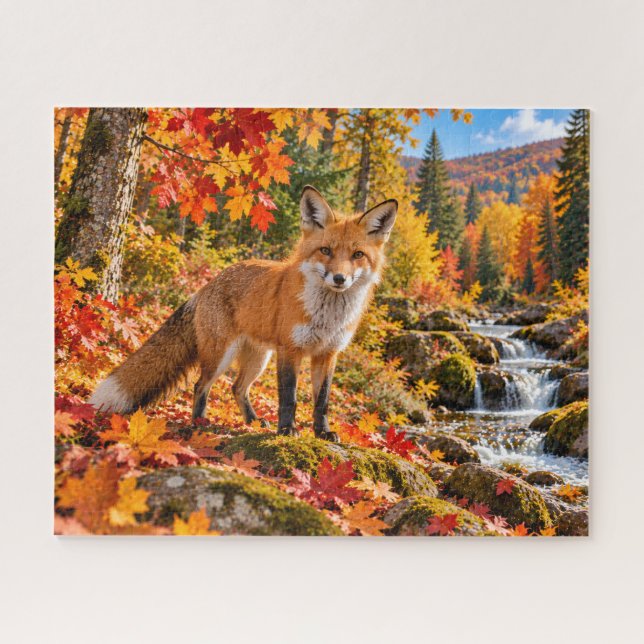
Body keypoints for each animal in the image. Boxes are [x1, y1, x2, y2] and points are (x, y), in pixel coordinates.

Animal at [90, 186, 398, 442]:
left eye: (357, 255)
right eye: (325, 250)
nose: (339, 279)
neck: (327, 317)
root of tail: (208, 284)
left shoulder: (328, 354)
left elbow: (322, 401)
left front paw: (323, 433)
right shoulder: (291, 349)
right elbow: (289, 397)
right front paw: (287, 429)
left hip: (258, 359)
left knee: (237, 388)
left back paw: (252, 421)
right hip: (221, 355)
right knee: (201, 385)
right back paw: (199, 422)